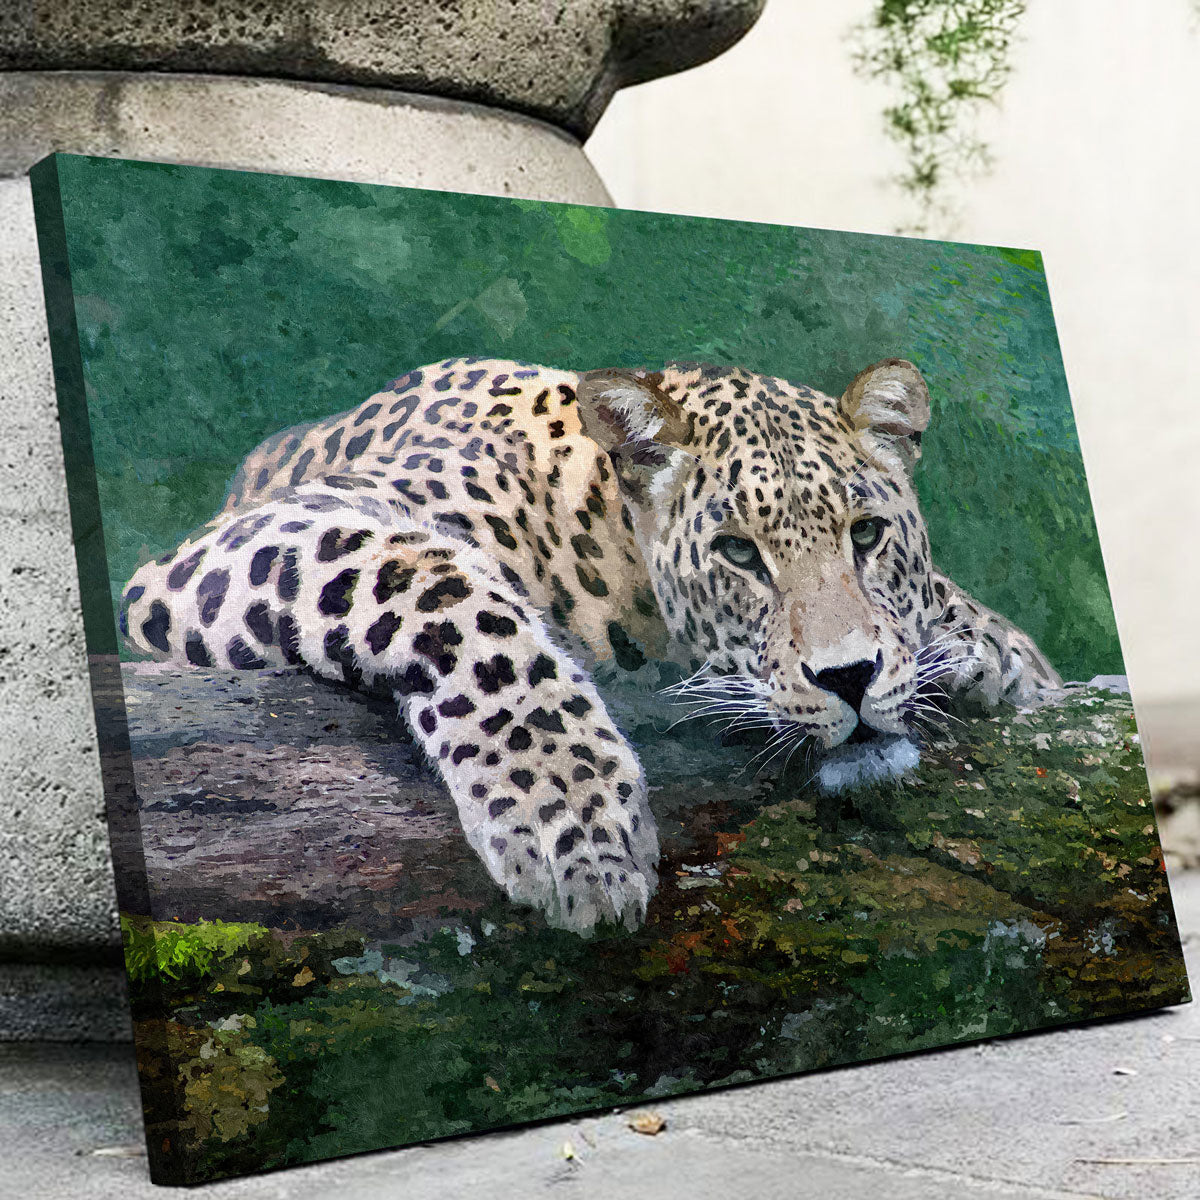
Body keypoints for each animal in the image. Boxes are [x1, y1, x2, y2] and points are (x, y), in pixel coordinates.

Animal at [120, 355, 1061, 934]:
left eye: (866, 535)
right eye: (739, 554)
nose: (852, 676)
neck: (607, 542)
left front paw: (991, 656)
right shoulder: (246, 541)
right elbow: (449, 591)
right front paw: (572, 818)